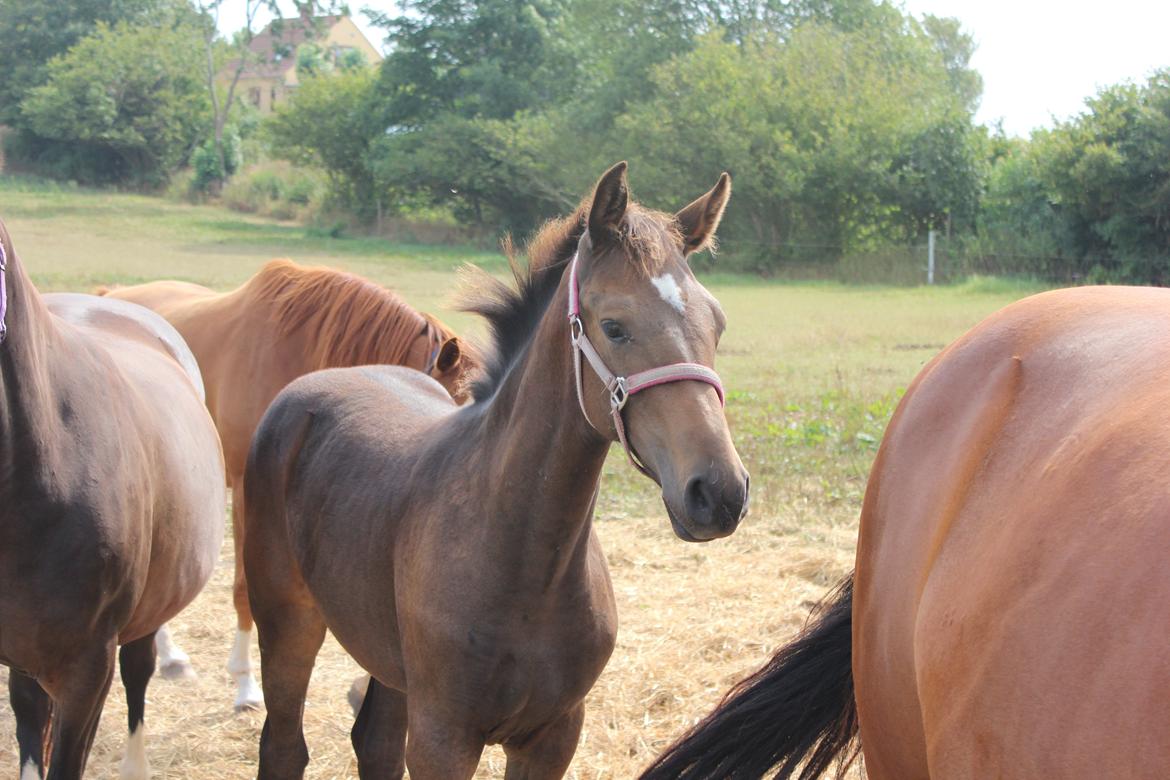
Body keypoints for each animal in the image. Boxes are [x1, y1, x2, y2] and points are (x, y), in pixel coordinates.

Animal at [244, 161, 748, 776]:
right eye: (614, 326)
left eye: (716, 324)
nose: (718, 492)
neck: (526, 562)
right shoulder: (443, 738)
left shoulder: (553, 735)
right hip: (288, 621)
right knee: (285, 745)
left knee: (375, 741)